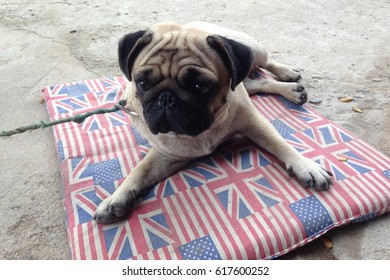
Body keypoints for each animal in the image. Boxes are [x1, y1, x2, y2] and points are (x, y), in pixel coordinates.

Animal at [94, 20, 332, 224]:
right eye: (142, 84)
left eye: (201, 86)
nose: (167, 98)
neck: (203, 131)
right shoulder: (168, 152)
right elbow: (141, 170)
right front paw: (116, 197)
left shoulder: (255, 123)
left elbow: (280, 143)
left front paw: (306, 166)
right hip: (245, 81)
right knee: (259, 83)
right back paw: (291, 90)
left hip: (255, 50)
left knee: (267, 63)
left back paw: (287, 75)